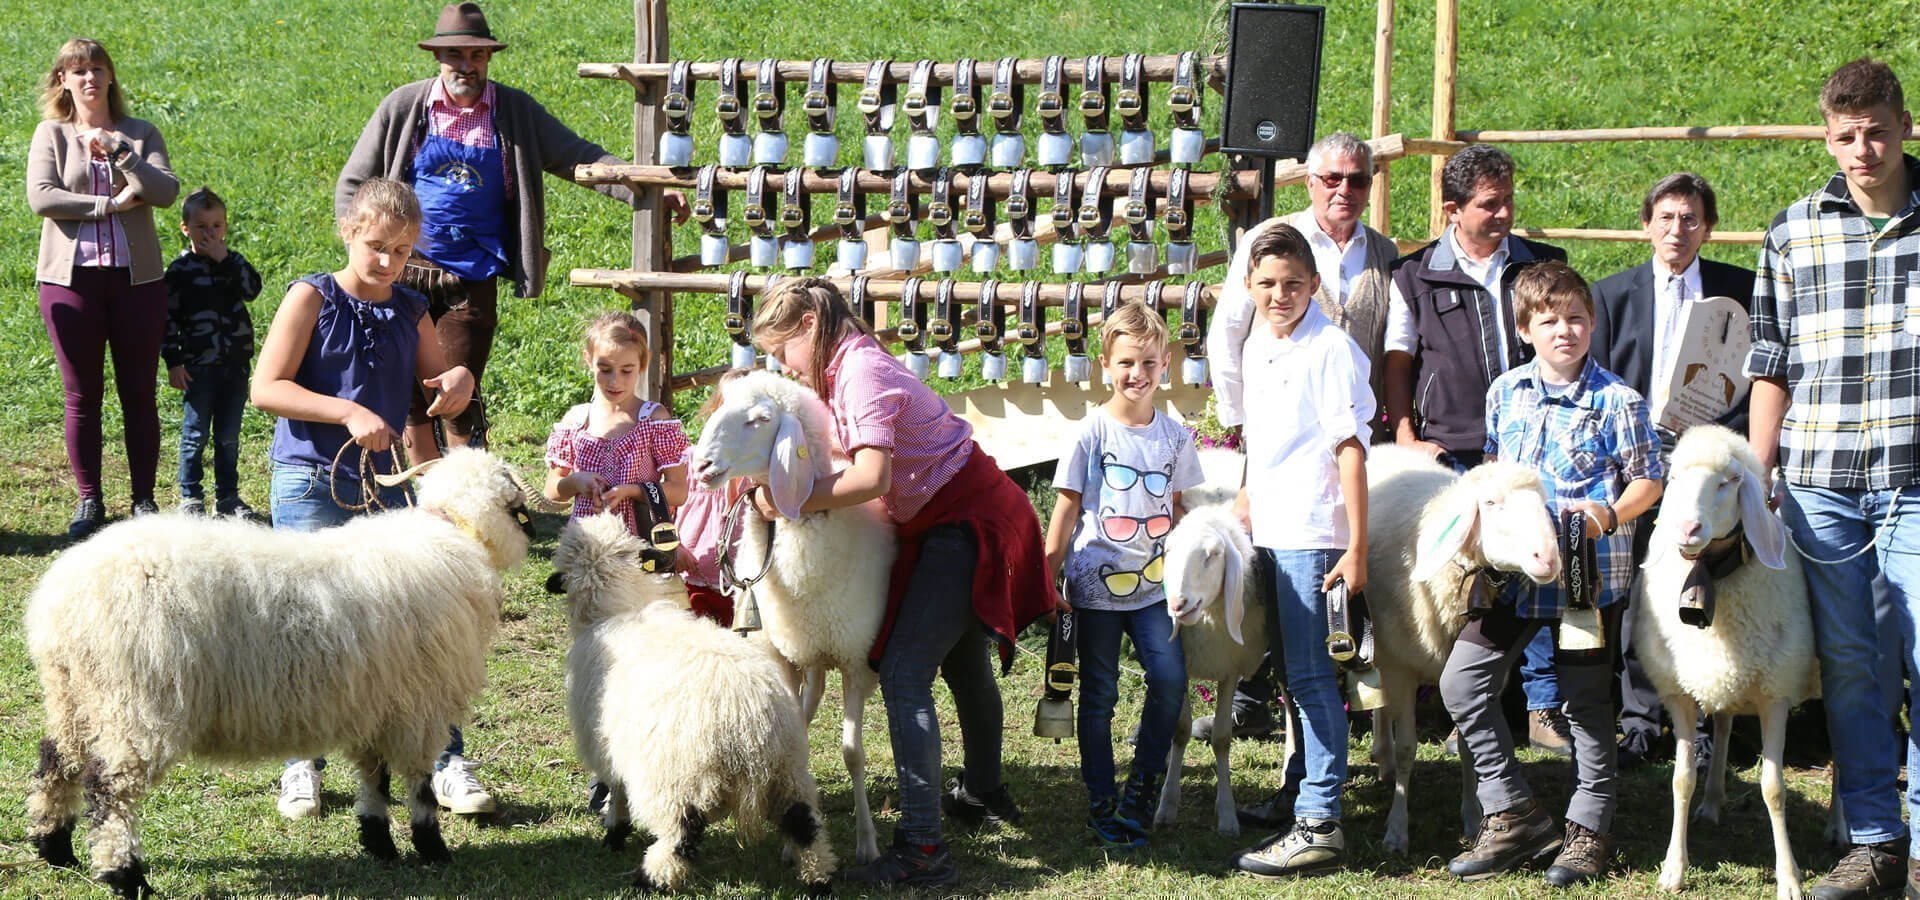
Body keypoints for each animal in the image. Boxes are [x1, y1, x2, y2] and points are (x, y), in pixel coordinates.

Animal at [24, 449, 533, 898]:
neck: (453, 532)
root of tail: (62, 600)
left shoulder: (373, 703)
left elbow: (375, 778)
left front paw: (377, 842)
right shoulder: (417, 709)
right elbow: (418, 785)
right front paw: (432, 848)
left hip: (76, 695)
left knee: (56, 762)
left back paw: (54, 848)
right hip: (136, 703)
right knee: (109, 792)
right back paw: (125, 878)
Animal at [549, 510, 833, 890]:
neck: (616, 610)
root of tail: (749, 719)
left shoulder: (605, 743)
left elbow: (617, 788)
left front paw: (614, 831)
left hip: (677, 779)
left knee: (682, 836)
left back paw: (651, 878)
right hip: (788, 771)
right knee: (804, 825)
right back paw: (820, 879)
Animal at [683, 370, 890, 863]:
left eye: (760, 419)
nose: (700, 466)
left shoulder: (856, 661)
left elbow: (853, 752)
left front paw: (867, 841)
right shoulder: (781, 654)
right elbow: (793, 738)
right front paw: (792, 843)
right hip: (805, 650)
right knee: (805, 708)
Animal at [1359, 445, 1566, 852]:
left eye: (1542, 503)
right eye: (1490, 503)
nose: (1548, 559)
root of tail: (1387, 446)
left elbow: (1471, 750)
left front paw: (1472, 818)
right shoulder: (1402, 666)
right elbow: (1408, 749)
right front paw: (1397, 830)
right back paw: (1384, 755)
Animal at [1643, 422, 1820, 898]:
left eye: (1730, 481)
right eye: (1674, 479)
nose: (1688, 528)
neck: (1713, 575)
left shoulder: (1777, 692)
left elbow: (1773, 789)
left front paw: (1789, 877)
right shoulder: (1680, 692)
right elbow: (1681, 779)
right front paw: (1673, 867)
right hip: (1722, 675)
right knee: (1722, 724)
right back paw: (1712, 801)